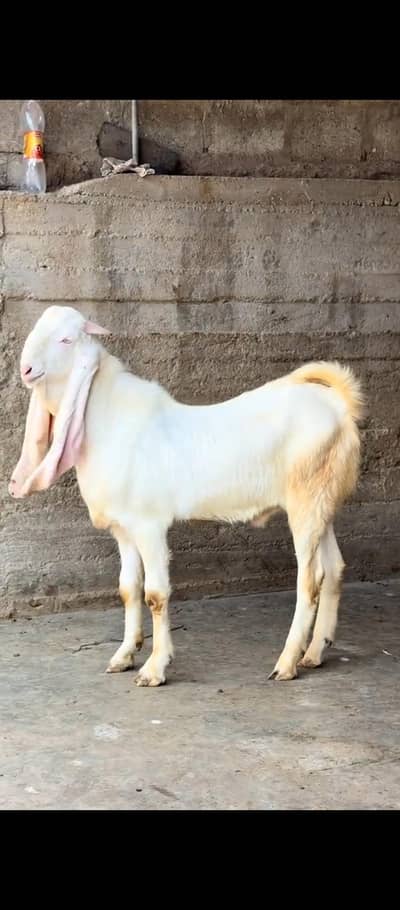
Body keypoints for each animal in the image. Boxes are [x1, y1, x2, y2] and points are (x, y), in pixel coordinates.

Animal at [9, 305, 363, 686]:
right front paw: (124, 655)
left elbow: (155, 595)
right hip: (322, 503)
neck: (109, 421)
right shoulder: (124, 528)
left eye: (66, 339)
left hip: (305, 501)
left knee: (310, 580)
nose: (26, 369)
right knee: (334, 568)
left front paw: (154, 668)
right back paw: (314, 653)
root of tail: (340, 408)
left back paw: (286, 662)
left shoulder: (149, 525)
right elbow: (128, 589)